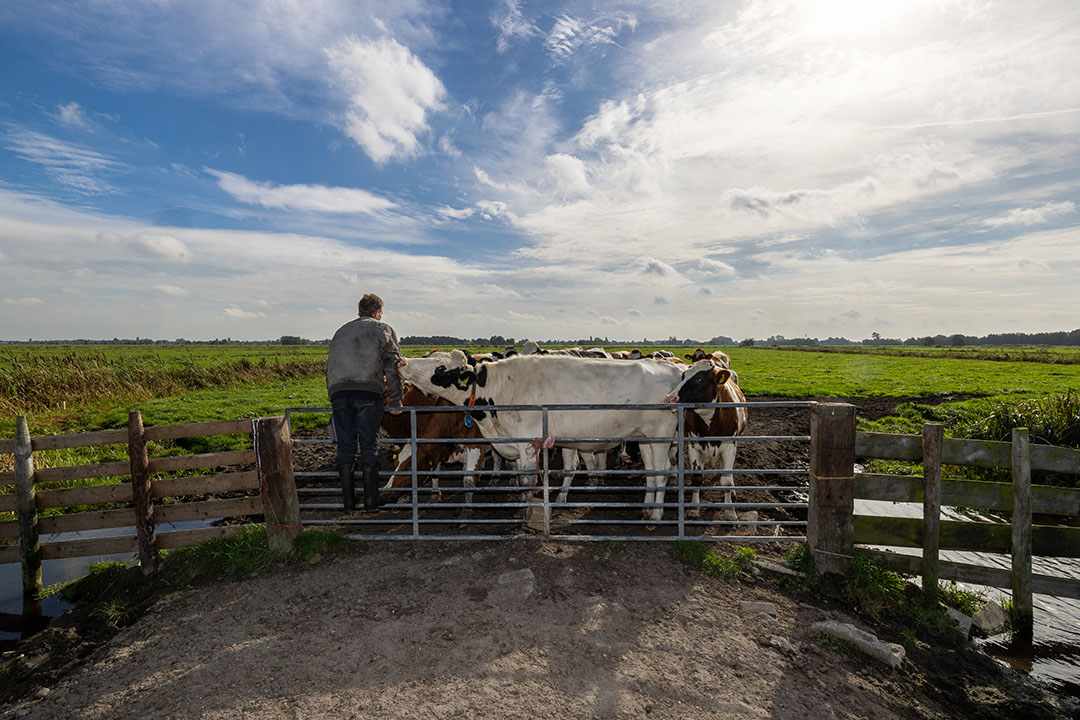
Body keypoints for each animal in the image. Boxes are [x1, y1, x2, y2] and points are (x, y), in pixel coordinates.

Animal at [397, 351, 682, 520]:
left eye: (440, 367)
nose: (401, 361)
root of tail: (672, 369)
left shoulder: (527, 443)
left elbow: (526, 482)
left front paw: (524, 514)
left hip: (662, 435)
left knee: (664, 471)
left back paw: (656, 516)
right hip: (645, 438)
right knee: (652, 471)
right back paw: (646, 507)